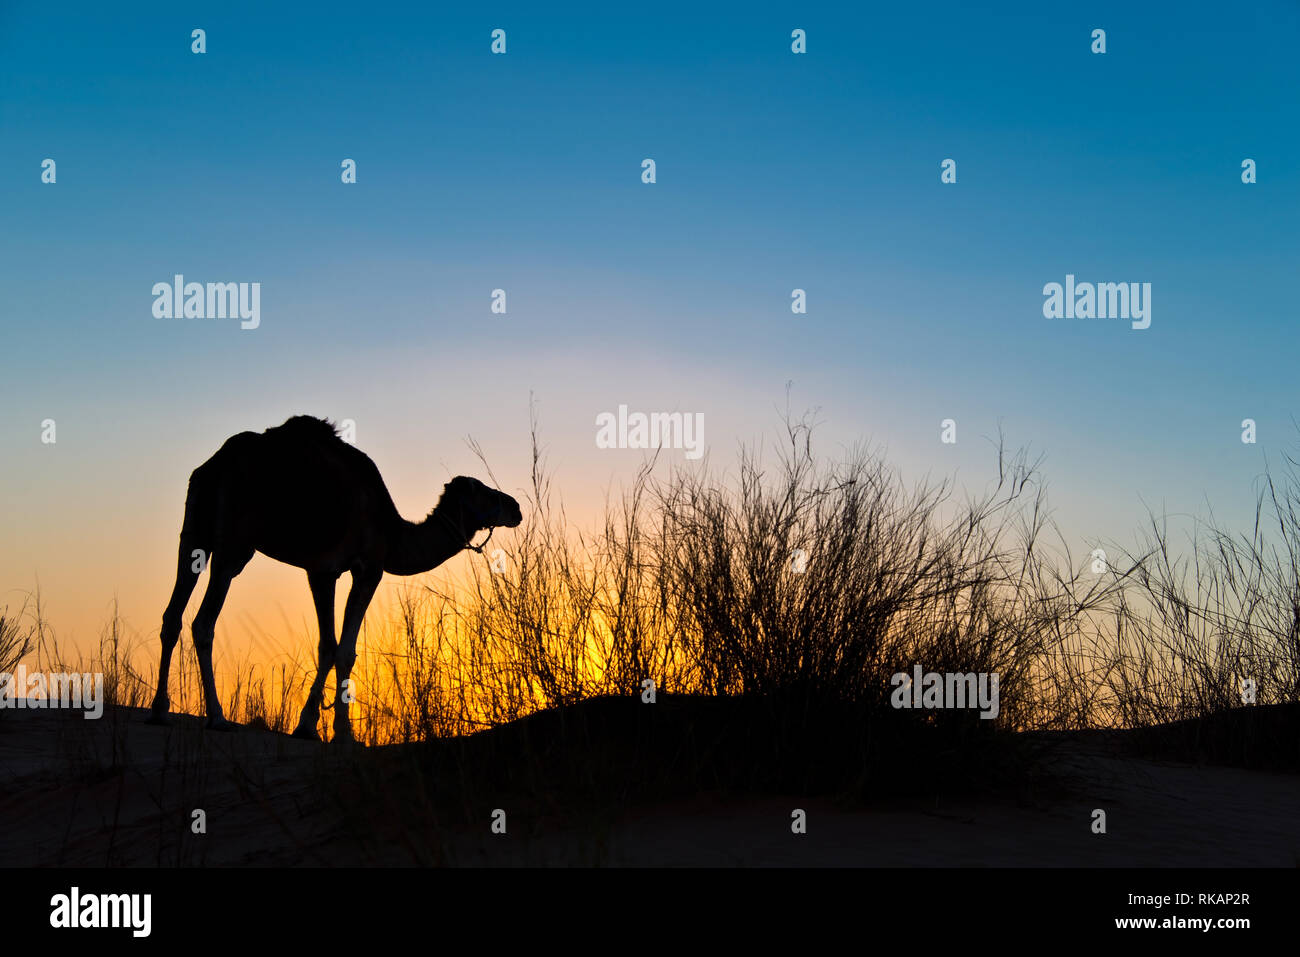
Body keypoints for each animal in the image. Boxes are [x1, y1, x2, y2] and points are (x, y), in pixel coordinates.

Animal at [148, 416, 522, 738]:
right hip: (234, 545)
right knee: (203, 622)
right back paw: (217, 716)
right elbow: (345, 649)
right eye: (485, 492)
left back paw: (159, 709)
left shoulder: (321, 571)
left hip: (193, 534)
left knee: (172, 615)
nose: (515, 507)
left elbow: (326, 645)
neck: (392, 533)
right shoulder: (368, 568)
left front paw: (307, 726)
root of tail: (214, 465)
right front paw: (343, 732)